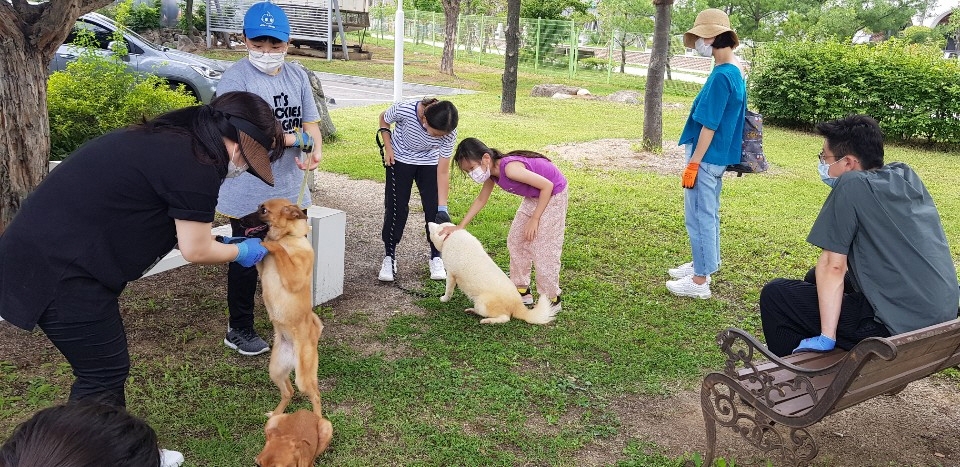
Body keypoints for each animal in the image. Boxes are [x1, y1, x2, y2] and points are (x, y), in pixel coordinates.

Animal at [255, 199, 326, 418]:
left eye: (264, 210)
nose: (241, 220)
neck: (288, 238)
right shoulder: (260, 268)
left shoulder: (293, 277)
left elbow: (279, 250)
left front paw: (268, 243)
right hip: (276, 370)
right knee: (289, 392)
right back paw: (276, 415)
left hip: (303, 377)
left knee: (315, 395)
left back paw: (318, 420)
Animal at [428, 223, 556, 326]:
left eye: (434, 230)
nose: (429, 223)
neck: (449, 237)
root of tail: (518, 305)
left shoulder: (450, 274)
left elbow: (448, 291)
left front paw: (444, 299)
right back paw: (472, 310)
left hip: (482, 304)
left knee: (505, 318)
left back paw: (487, 320)